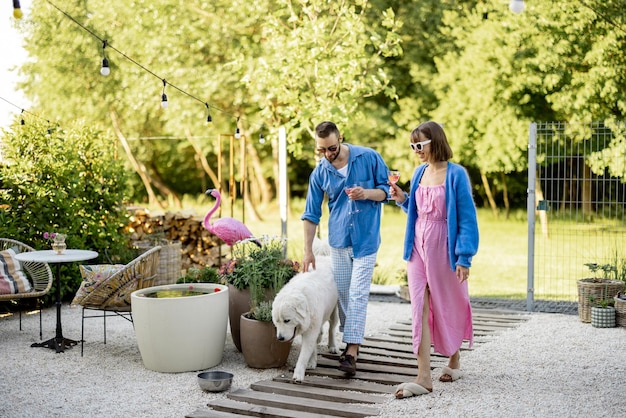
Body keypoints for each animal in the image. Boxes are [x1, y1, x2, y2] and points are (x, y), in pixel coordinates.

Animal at [272, 248, 336, 382]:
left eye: (287, 320)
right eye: (277, 322)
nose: (280, 338)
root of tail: (323, 256)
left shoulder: (311, 330)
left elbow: (304, 354)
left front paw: (298, 374)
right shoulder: (309, 327)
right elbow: (312, 348)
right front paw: (312, 362)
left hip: (336, 309)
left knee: (332, 328)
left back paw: (333, 346)